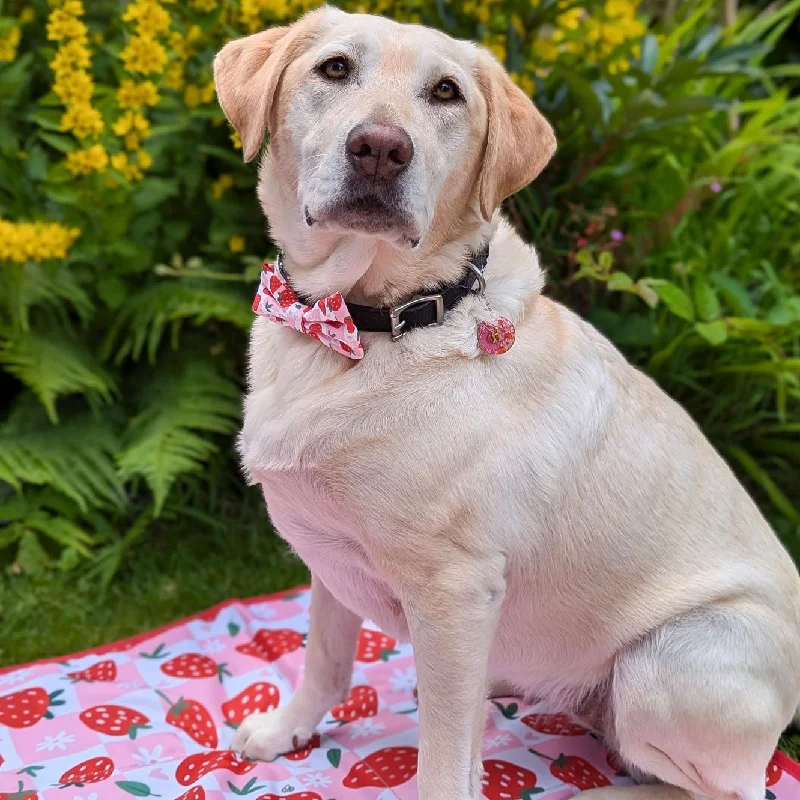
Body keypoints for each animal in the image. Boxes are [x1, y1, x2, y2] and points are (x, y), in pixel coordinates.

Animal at [214, 9, 800, 800]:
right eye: (334, 68)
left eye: (446, 92)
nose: (379, 149)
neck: (372, 322)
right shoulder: (329, 555)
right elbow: (326, 661)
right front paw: (287, 729)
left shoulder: (453, 594)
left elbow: (440, 763)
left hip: (670, 662)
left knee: (733, 787)